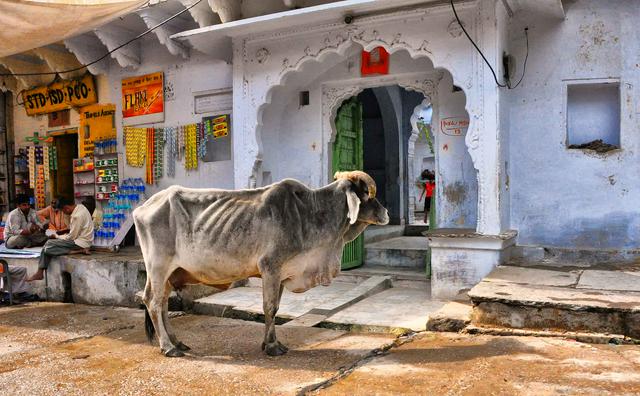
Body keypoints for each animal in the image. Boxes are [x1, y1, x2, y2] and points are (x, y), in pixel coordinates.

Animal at [134, 172, 390, 358]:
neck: (311, 214)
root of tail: (142, 208)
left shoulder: (282, 274)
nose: (386, 212)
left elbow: (275, 308)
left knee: (162, 303)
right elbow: (269, 307)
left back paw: (177, 342)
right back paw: (168, 347)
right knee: (153, 302)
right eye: (367, 194)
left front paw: (270, 343)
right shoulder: (270, 267)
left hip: (169, 273)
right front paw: (272, 347)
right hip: (158, 268)